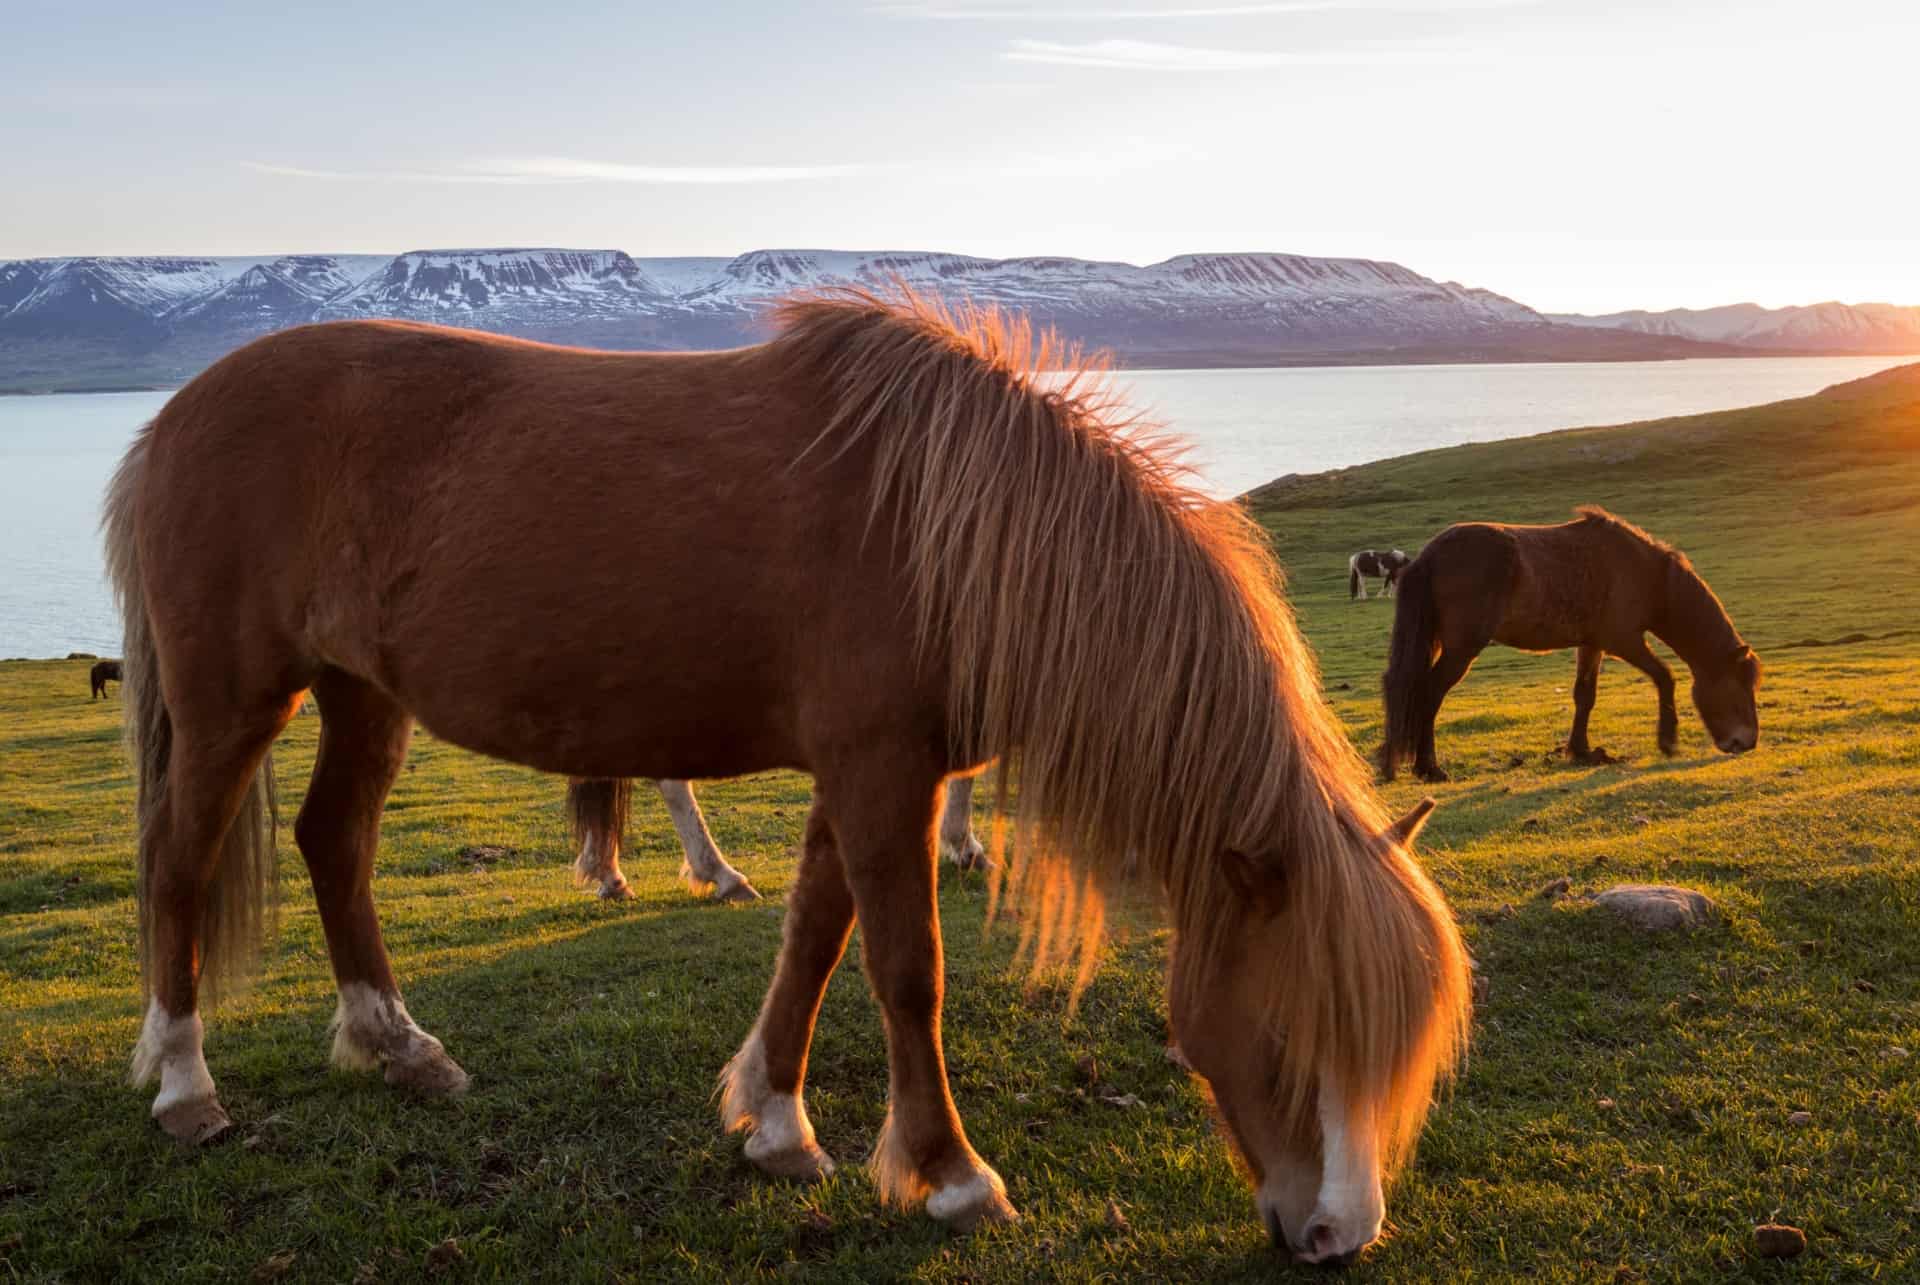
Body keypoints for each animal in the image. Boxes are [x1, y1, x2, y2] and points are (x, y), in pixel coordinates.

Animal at [1374, 507, 1758, 775]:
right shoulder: (1623, 641)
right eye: (1739, 690)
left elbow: (1584, 696)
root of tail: (1429, 555)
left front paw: (1582, 750)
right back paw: (1429, 767)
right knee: (1429, 693)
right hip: (1461, 649)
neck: (1646, 574)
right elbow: (1665, 677)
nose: (1747, 743)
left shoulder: (1592, 644)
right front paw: (1667, 741)